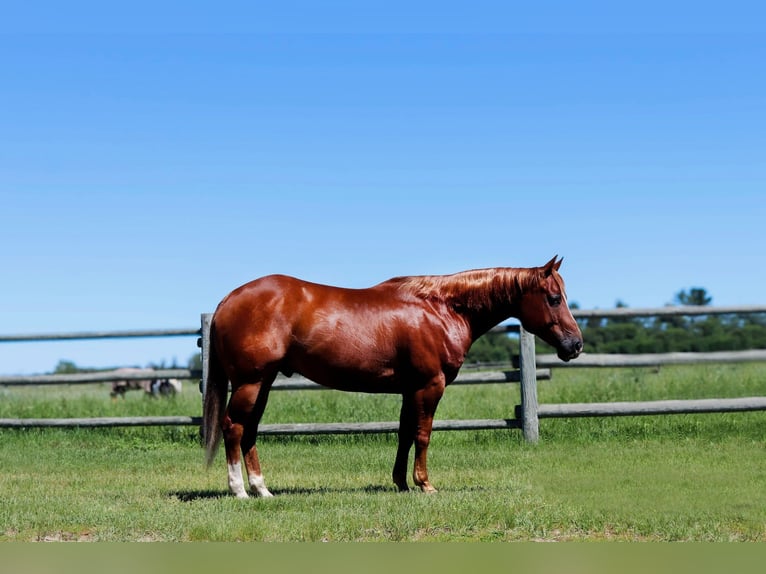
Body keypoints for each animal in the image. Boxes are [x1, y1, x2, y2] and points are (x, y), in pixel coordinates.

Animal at [204, 258, 584, 500]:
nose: (575, 344)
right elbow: (423, 435)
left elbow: (404, 434)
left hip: (263, 383)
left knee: (249, 431)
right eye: (554, 298)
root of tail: (228, 300)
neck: (440, 309)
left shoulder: (409, 389)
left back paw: (262, 490)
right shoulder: (430, 385)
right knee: (234, 428)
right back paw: (239, 491)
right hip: (251, 383)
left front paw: (401, 483)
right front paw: (425, 484)